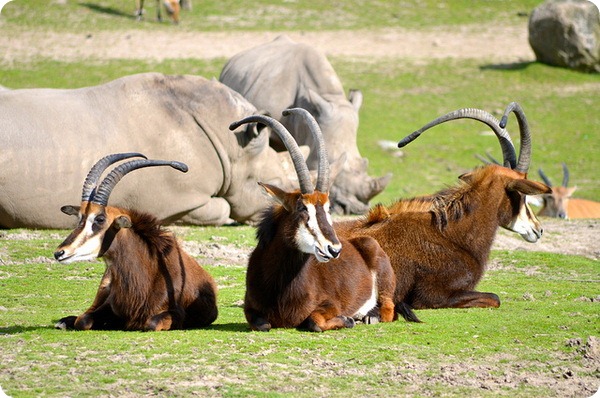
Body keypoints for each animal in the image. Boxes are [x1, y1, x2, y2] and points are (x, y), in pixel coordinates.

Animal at [54, 154, 218, 332]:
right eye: (80, 218)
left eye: (100, 219)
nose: (60, 252)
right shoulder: (109, 306)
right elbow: (83, 320)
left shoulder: (175, 315)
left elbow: (151, 323)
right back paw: (63, 321)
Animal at [230, 109, 408, 332]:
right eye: (302, 208)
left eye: (328, 208)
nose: (334, 249)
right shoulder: (251, 311)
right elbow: (262, 325)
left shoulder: (330, 304)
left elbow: (314, 322)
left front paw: (348, 319)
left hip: (384, 285)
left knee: (388, 311)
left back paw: (367, 316)